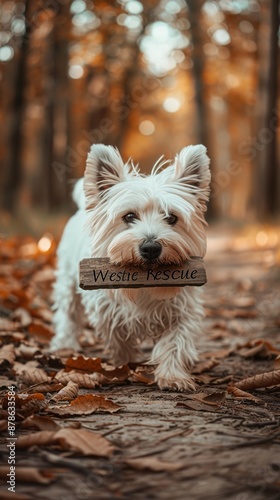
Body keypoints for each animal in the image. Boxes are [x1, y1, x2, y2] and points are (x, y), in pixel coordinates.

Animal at [50, 145, 210, 390]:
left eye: (171, 218)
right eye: (129, 216)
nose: (151, 248)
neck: (143, 283)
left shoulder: (183, 309)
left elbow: (176, 342)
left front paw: (173, 376)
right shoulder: (106, 309)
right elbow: (119, 338)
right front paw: (125, 365)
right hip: (67, 282)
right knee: (68, 315)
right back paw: (64, 345)